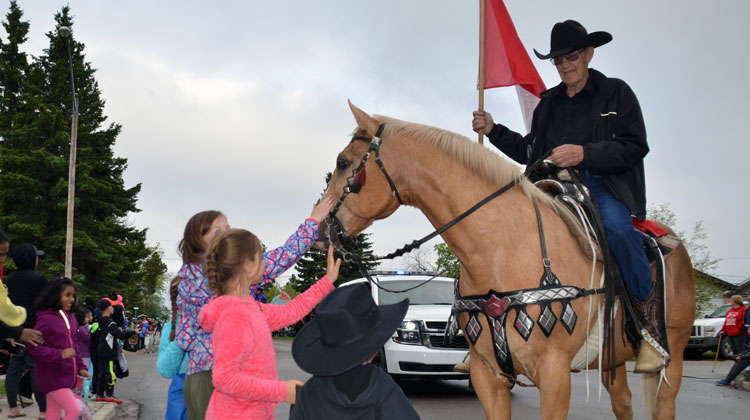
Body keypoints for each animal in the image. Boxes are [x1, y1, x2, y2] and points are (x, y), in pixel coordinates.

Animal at [324, 102, 700, 420]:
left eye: (343, 162)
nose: (323, 228)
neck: (502, 250)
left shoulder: (554, 376)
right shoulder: (487, 375)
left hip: (674, 355)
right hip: (613, 360)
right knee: (623, 405)